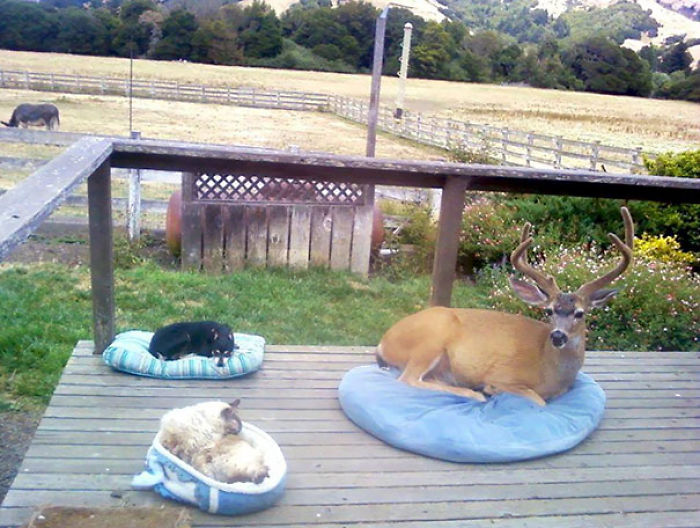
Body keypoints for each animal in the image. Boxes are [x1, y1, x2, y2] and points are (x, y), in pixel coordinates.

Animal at [375, 207, 634, 406]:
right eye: (549, 311)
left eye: (580, 313)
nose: (558, 336)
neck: (548, 370)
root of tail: (383, 342)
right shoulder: (504, 375)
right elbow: (537, 401)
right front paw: (490, 389)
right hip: (431, 338)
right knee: (409, 378)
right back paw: (474, 393)